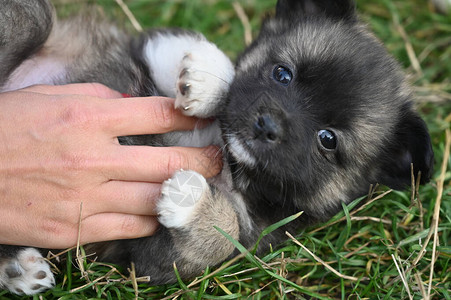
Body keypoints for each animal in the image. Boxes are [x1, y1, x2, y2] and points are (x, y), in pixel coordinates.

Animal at [0, 0, 434, 296]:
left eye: (327, 140)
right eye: (283, 74)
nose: (267, 124)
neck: (227, 157)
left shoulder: (155, 257)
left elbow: (220, 235)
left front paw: (190, 199)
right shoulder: (146, 49)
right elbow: (196, 55)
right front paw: (206, 80)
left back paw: (18, 267)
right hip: (38, 22)